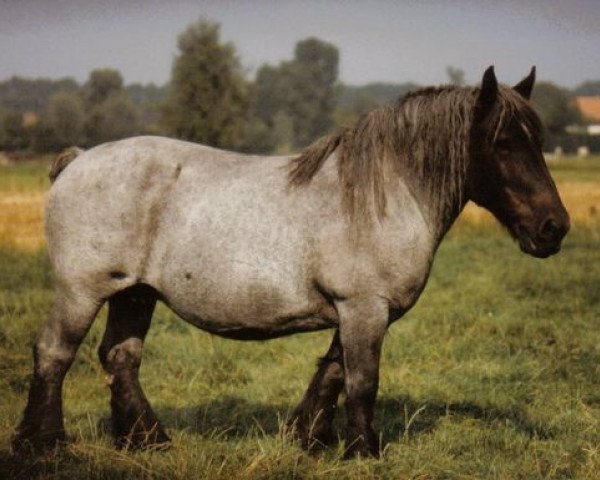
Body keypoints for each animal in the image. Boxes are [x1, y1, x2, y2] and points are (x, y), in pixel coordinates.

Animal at [12, 66, 568, 458]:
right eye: (503, 142)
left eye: (538, 141)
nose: (554, 228)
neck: (382, 196)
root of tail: (79, 159)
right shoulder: (364, 309)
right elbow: (362, 383)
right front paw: (363, 453)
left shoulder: (356, 313)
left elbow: (332, 374)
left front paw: (307, 440)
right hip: (83, 292)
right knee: (54, 354)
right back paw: (43, 445)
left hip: (134, 293)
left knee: (120, 358)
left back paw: (148, 442)